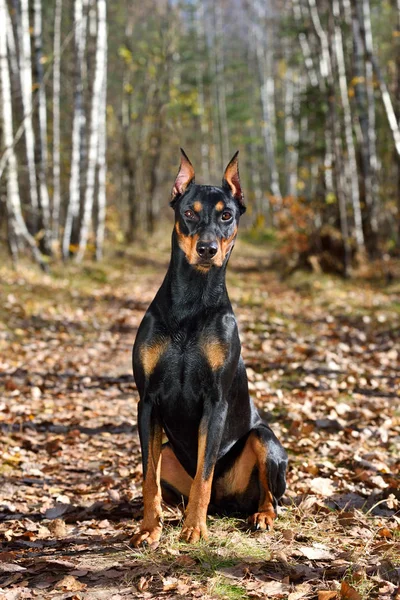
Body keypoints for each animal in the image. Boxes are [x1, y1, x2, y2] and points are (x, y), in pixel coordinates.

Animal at [131, 148, 288, 548]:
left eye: (226, 215)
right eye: (189, 212)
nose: (207, 248)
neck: (192, 299)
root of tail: (227, 504)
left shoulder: (215, 402)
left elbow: (204, 473)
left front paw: (195, 530)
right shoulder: (147, 400)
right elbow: (148, 478)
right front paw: (149, 529)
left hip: (265, 440)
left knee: (269, 495)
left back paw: (260, 516)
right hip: (169, 452)